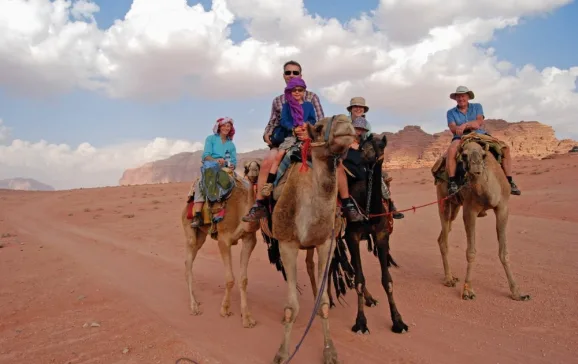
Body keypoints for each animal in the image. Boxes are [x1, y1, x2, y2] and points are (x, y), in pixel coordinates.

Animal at [180, 161, 260, 328]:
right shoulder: (224, 239)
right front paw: (224, 310)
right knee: (188, 264)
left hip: (201, 236)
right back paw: (194, 306)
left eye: (259, 164)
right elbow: (230, 279)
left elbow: (243, 280)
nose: (254, 170)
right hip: (188, 228)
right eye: (247, 167)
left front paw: (247, 318)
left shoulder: (250, 239)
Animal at [268, 115, 354, 364]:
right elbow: (291, 307)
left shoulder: (325, 242)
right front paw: (282, 353)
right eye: (318, 127)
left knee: (308, 264)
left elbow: (324, 303)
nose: (346, 122)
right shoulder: (287, 244)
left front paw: (330, 351)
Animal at [432, 136, 532, 302]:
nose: (476, 169)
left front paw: (517, 292)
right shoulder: (469, 210)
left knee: (442, 235)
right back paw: (449, 279)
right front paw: (468, 291)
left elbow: (504, 252)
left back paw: (452, 276)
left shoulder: (503, 208)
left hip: (455, 207)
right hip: (443, 198)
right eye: (464, 155)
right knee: (444, 239)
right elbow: (471, 252)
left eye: (484, 156)